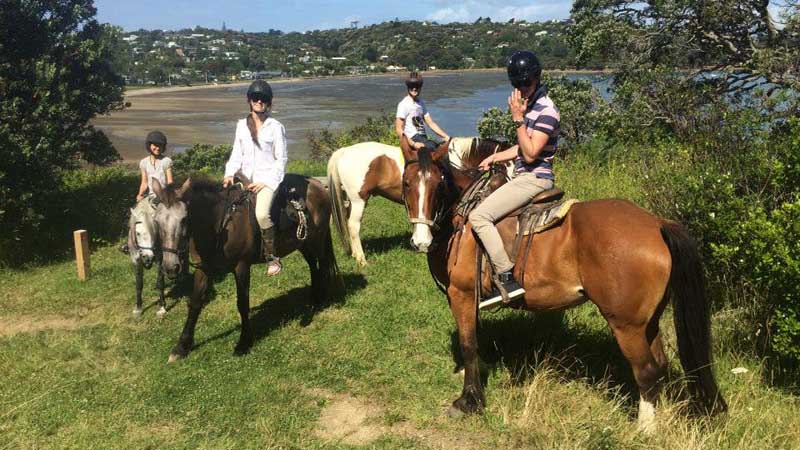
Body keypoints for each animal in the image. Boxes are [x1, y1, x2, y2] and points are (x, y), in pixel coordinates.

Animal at [151, 175, 340, 362]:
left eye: (184, 219)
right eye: (156, 221)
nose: (170, 267)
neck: (221, 224)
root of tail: (318, 185)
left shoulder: (241, 266)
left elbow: (242, 303)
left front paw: (243, 342)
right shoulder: (204, 268)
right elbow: (195, 303)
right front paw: (182, 347)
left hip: (317, 239)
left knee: (323, 265)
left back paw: (322, 300)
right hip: (302, 242)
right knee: (312, 265)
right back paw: (314, 298)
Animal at [326, 137, 510, 264]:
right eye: (507, 164)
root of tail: (344, 151)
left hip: (349, 199)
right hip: (359, 200)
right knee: (353, 225)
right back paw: (361, 259)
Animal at [400, 142, 724, 430]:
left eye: (439, 185)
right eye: (406, 183)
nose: (421, 241)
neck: (463, 218)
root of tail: (657, 223)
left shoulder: (462, 294)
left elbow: (468, 345)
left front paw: (469, 401)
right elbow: (476, 342)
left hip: (627, 325)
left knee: (646, 371)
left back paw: (645, 429)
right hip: (649, 321)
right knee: (660, 365)